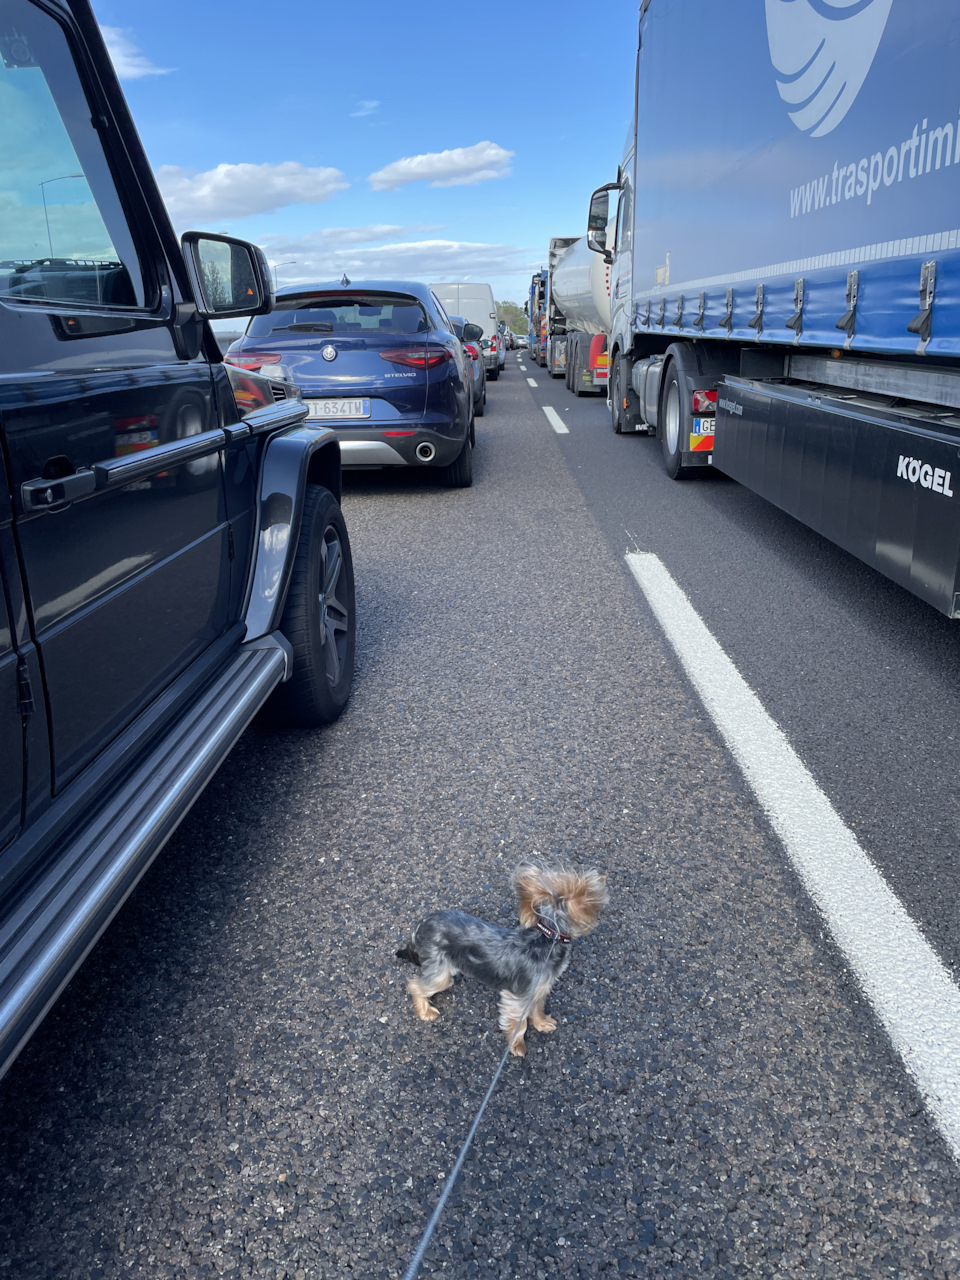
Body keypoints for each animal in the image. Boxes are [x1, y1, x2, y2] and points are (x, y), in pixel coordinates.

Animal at [396, 860, 609, 1059]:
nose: (604, 878)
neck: (547, 939)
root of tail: (421, 924)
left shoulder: (539, 988)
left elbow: (537, 1007)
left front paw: (542, 1023)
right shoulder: (518, 996)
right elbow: (518, 1022)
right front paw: (517, 1046)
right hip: (438, 967)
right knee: (416, 985)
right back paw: (425, 1012)